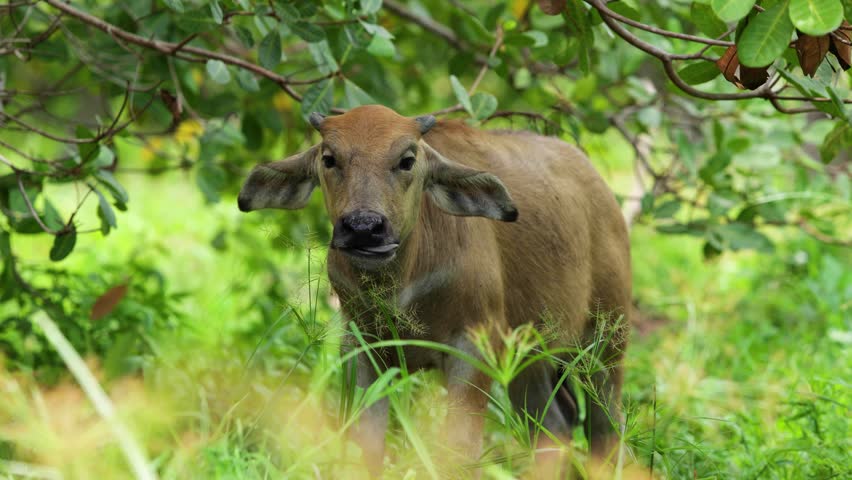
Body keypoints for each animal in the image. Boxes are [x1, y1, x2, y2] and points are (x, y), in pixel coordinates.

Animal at [237, 104, 631, 475]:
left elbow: (458, 448)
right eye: (329, 158)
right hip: (530, 361)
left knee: (606, 430)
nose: (364, 228)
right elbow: (365, 443)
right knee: (554, 431)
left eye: (407, 160)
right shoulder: (361, 346)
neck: (404, 283)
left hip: (605, 344)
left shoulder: (475, 344)